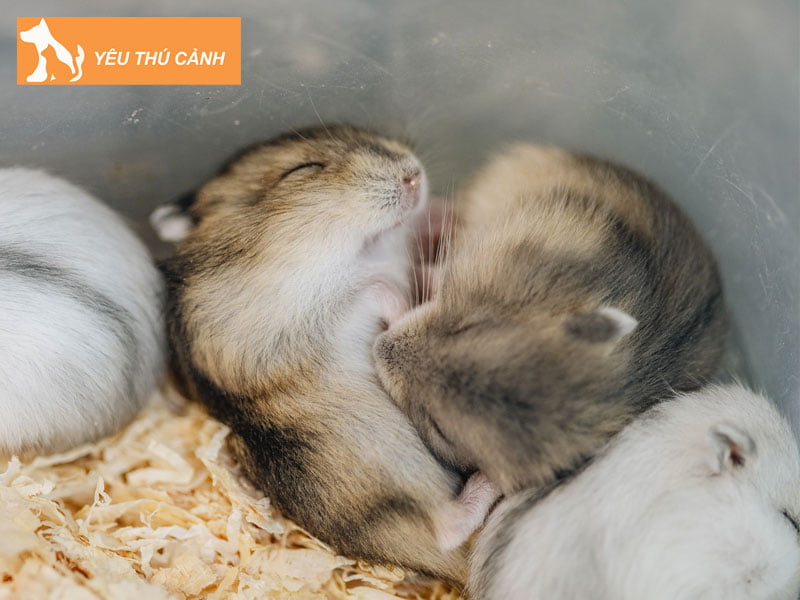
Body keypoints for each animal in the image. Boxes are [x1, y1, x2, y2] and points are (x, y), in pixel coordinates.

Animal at [159, 126, 496, 584]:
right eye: (304, 169)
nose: (414, 175)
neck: (360, 251)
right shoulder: (291, 328)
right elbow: (373, 290)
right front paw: (408, 300)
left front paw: (446, 215)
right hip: (379, 455)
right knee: (445, 528)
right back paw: (488, 482)